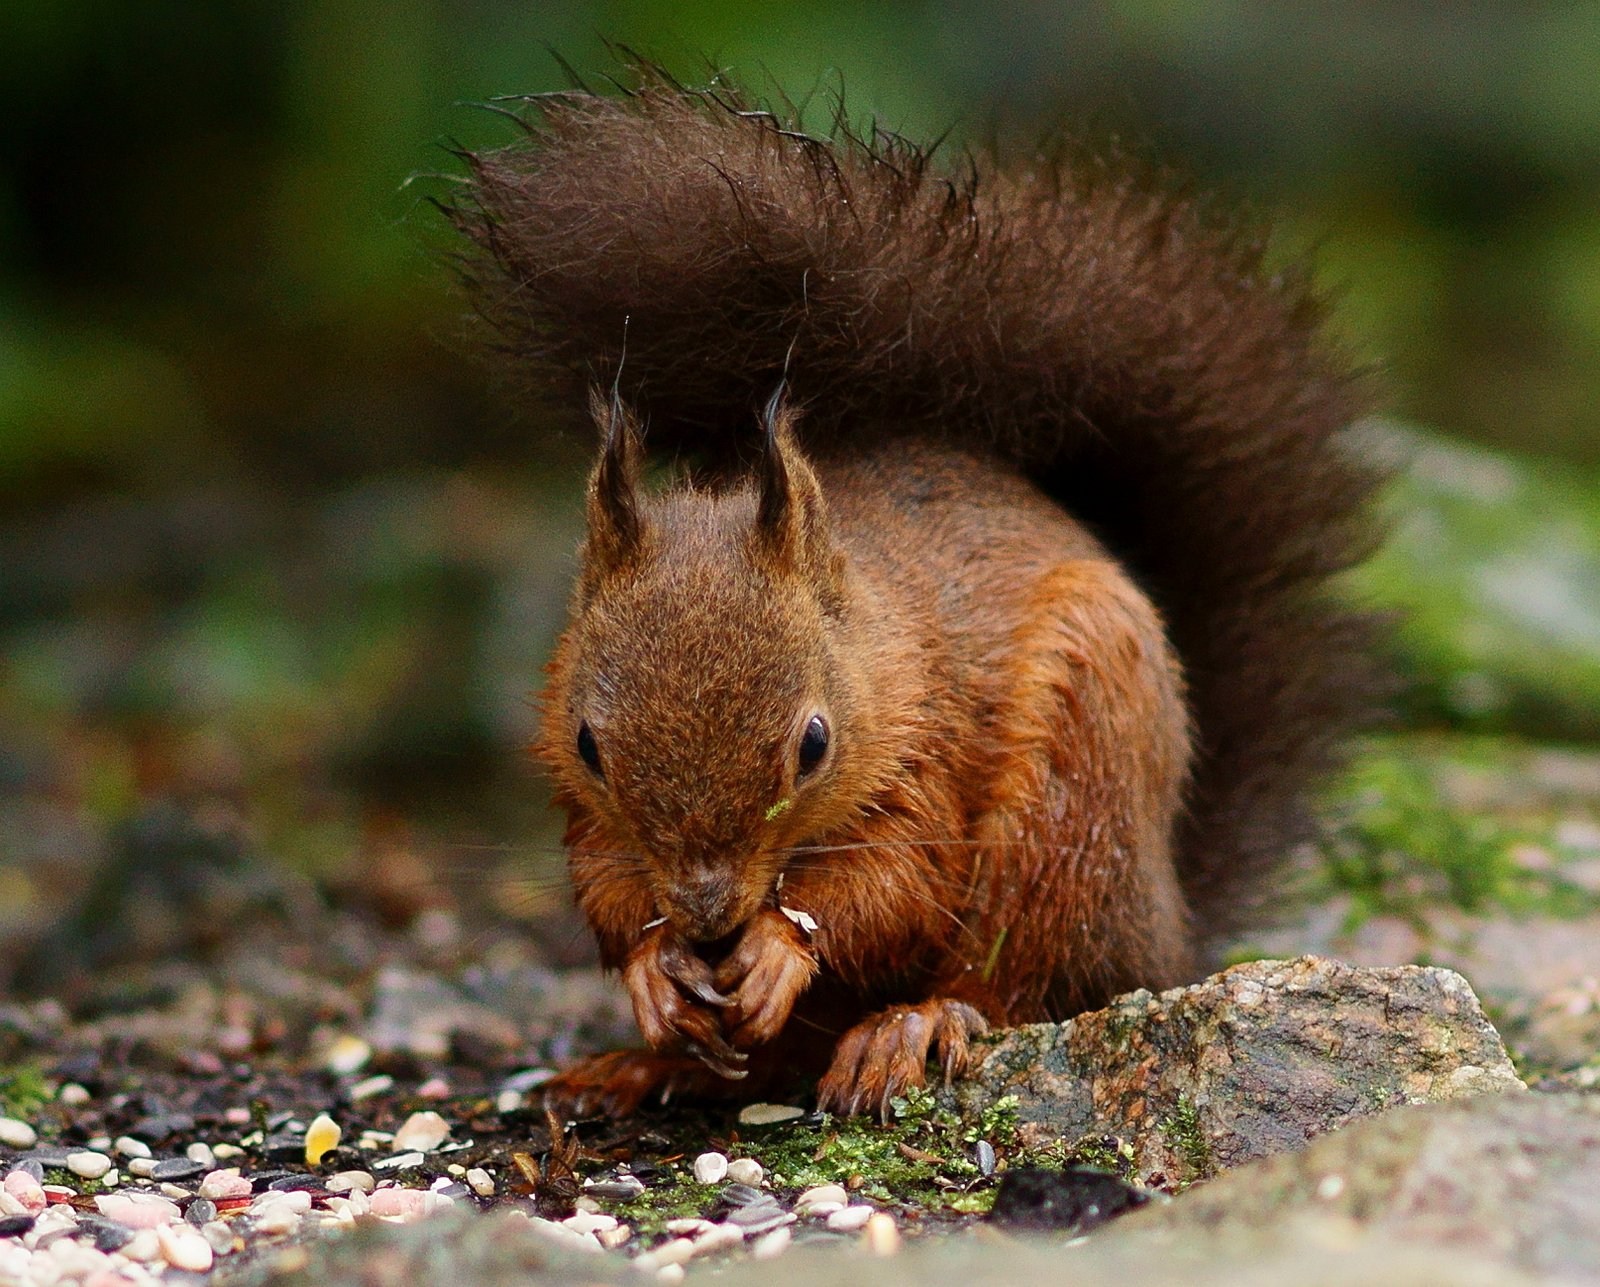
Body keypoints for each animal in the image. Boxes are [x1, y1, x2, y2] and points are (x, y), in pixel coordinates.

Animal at [445, 65, 1382, 1118]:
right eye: (587, 745)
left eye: (814, 743)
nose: (709, 919)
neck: (870, 635)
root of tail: (1167, 922)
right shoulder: (583, 802)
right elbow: (605, 883)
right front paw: (654, 967)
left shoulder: (927, 737)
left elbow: (895, 883)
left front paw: (781, 945)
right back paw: (649, 1065)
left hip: (1072, 801)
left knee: (1019, 984)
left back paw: (911, 1026)